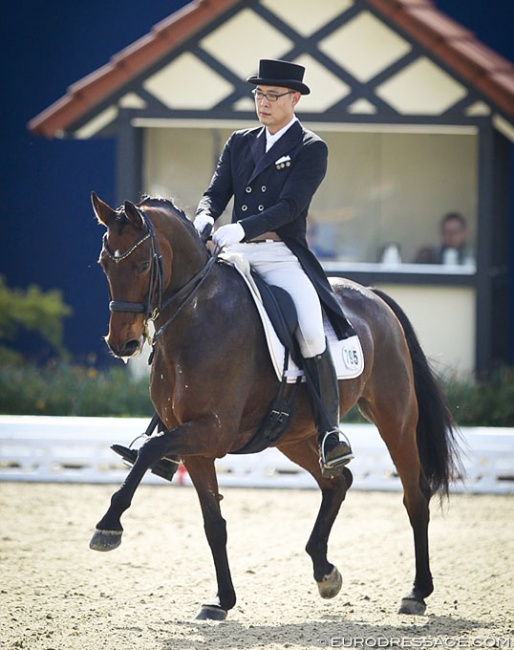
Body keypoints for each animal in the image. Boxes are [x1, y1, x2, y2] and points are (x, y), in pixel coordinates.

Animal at [87, 191, 456, 616]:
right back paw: (324, 571)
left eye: (144, 263)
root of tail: (371, 294)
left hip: (395, 417)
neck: (197, 318)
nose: (122, 343)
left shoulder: (213, 432)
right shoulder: (196, 446)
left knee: (415, 496)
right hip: (293, 437)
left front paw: (108, 526)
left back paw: (417, 592)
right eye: (103, 264)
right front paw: (222, 600)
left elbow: (150, 449)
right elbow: (214, 524)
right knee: (337, 481)